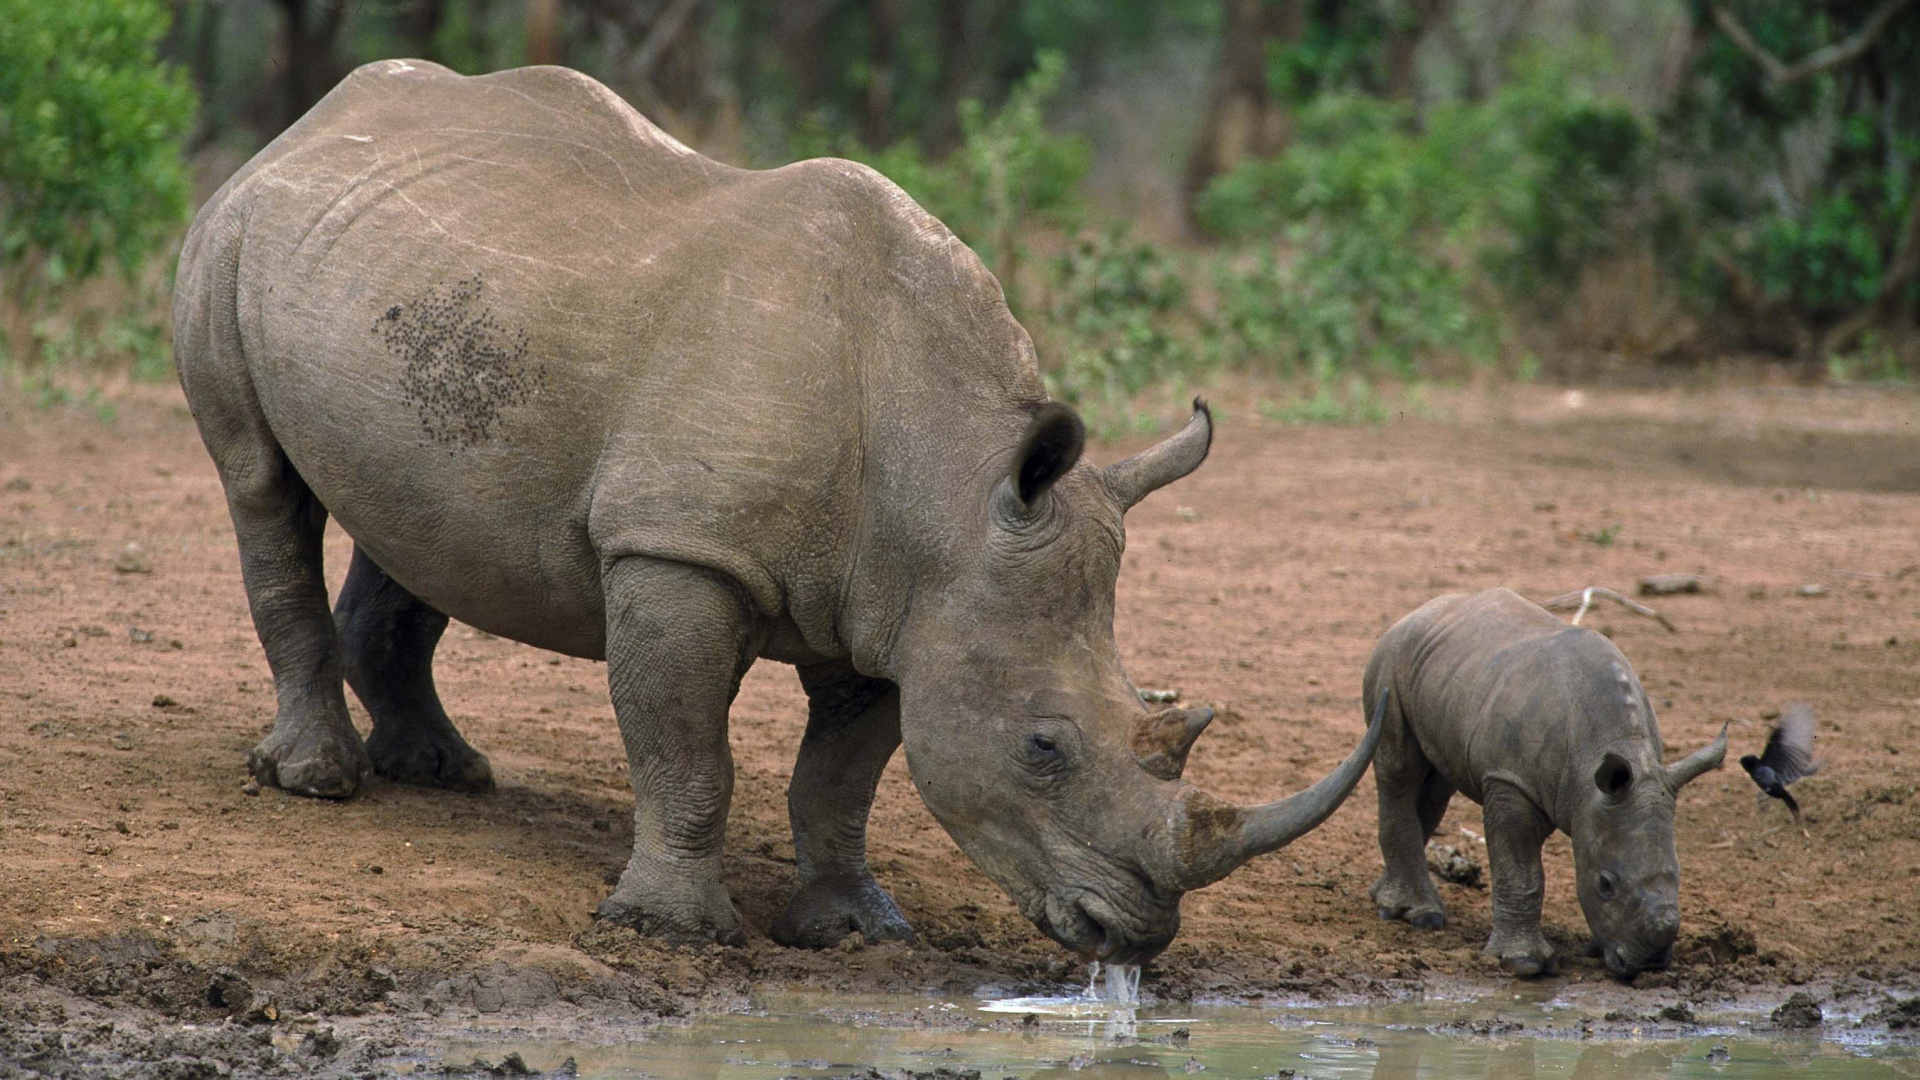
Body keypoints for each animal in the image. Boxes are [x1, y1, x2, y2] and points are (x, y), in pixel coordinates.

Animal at [171, 60, 1383, 961]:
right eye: (1044, 747)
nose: (1134, 935)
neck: (948, 480)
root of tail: (307, 126)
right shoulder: (679, 553)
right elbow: (687, 749)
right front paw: (671, 931)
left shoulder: (903, 608)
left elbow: (841, 778)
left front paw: (852, 930)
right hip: (230, 239)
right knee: (261, 483)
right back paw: (320, 784)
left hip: (405, 282)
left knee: (414, 515)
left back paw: (441, 773)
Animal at [1362, 589, 1726, 977]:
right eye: (1605, 884)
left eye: (1680, 875)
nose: (1649, 962)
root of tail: (1414, 615)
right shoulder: (1510, 779)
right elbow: (1522, 872)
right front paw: (1524, 962)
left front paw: (1593, 949)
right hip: (1391, 663)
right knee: (1399, 768)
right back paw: (1419, 917)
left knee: (1435, 786)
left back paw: (1384, 897)